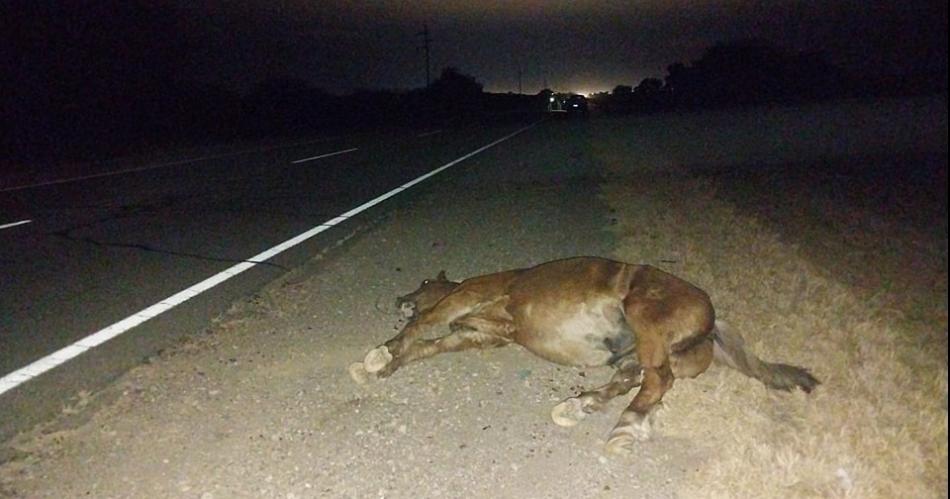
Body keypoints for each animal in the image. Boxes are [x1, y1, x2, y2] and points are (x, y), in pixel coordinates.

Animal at [350, 256, 820, 456]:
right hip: (640, 351)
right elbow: (425, 347)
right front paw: (387, 364)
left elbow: (421, 324)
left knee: (656, 380)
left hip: (643, 315)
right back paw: (579, 406)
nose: (398, 298)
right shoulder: (476, 335)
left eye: (424, 281)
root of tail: (712, 320)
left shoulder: (461, 301)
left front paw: (377, 355)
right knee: (634, 380)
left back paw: (623, 429)